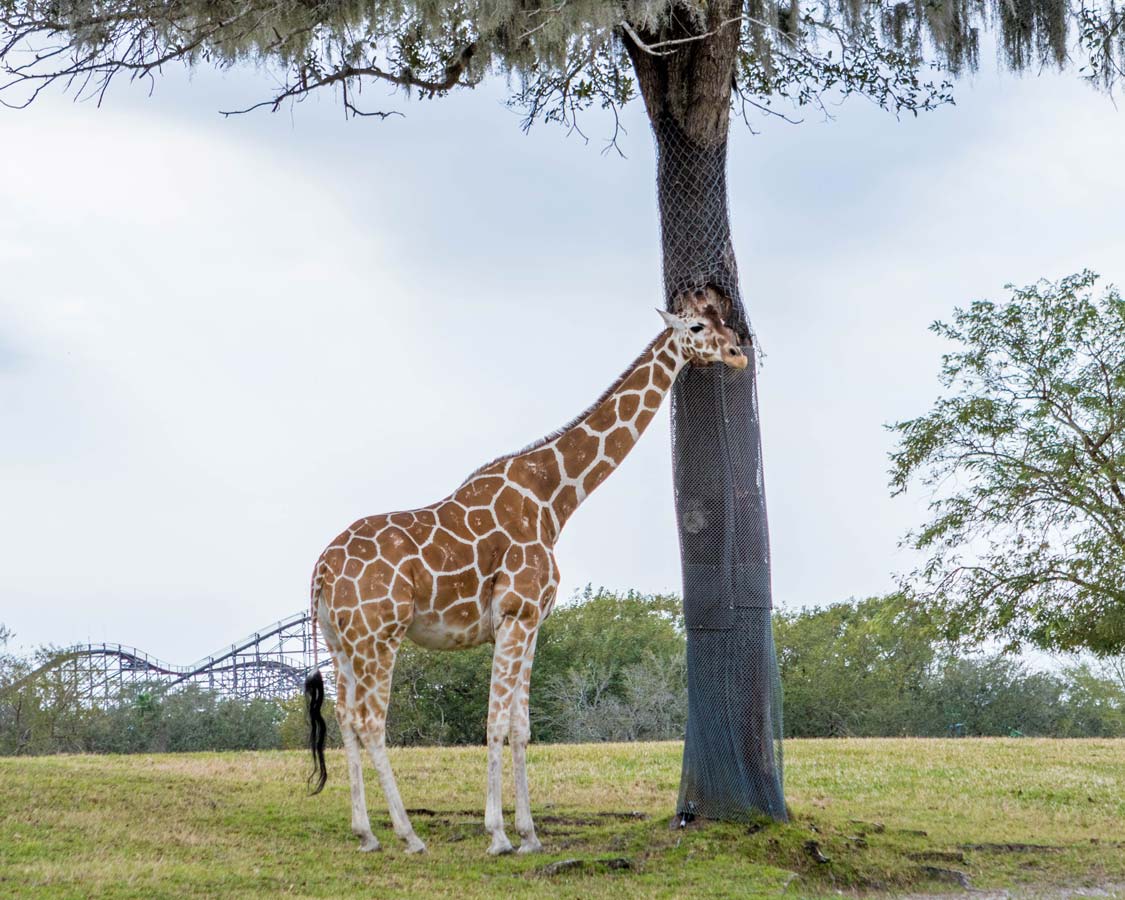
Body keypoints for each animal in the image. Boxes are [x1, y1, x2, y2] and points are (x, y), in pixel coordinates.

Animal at [303, 290, 751, 859]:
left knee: (344, 718)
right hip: (379, 635)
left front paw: (530, 833)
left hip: (340, 640)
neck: (555, 498)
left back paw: (366, 833)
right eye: (697, 326)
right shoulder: (515, 613)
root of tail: (320, 569)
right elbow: (495, 722)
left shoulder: (533, 620)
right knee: (370, 720)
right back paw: (408, 834)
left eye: (723, 321)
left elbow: (521, 727)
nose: (739, 353)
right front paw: (497, 835)